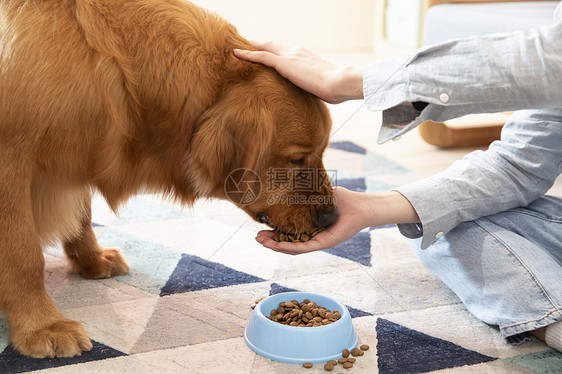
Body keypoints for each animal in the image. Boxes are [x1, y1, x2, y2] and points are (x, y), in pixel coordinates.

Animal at [0, 0, 336, 358]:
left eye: (322, 152)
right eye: (297, 159)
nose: (333, 216)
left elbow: (82, 216)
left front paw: (91, 257)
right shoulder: (10, 158)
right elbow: (24, 255)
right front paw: (42, 325)